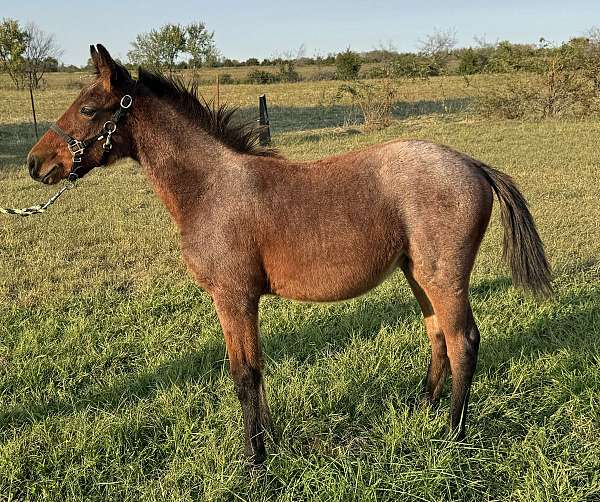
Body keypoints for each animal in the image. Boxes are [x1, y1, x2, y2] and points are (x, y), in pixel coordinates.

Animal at [28, 45, 552, 464]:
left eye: (89, 109)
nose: (37, 163)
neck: (211, 189)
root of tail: (474, 165)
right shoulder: (241, 300)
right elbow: (255, 372)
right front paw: (268, 445)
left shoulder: (233, 296)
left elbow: (244, 375)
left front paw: (255, 461)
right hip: (417, 274)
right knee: (437, 334)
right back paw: (423, 410)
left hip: (444, 276)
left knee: (464, 340)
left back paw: (453, 435)